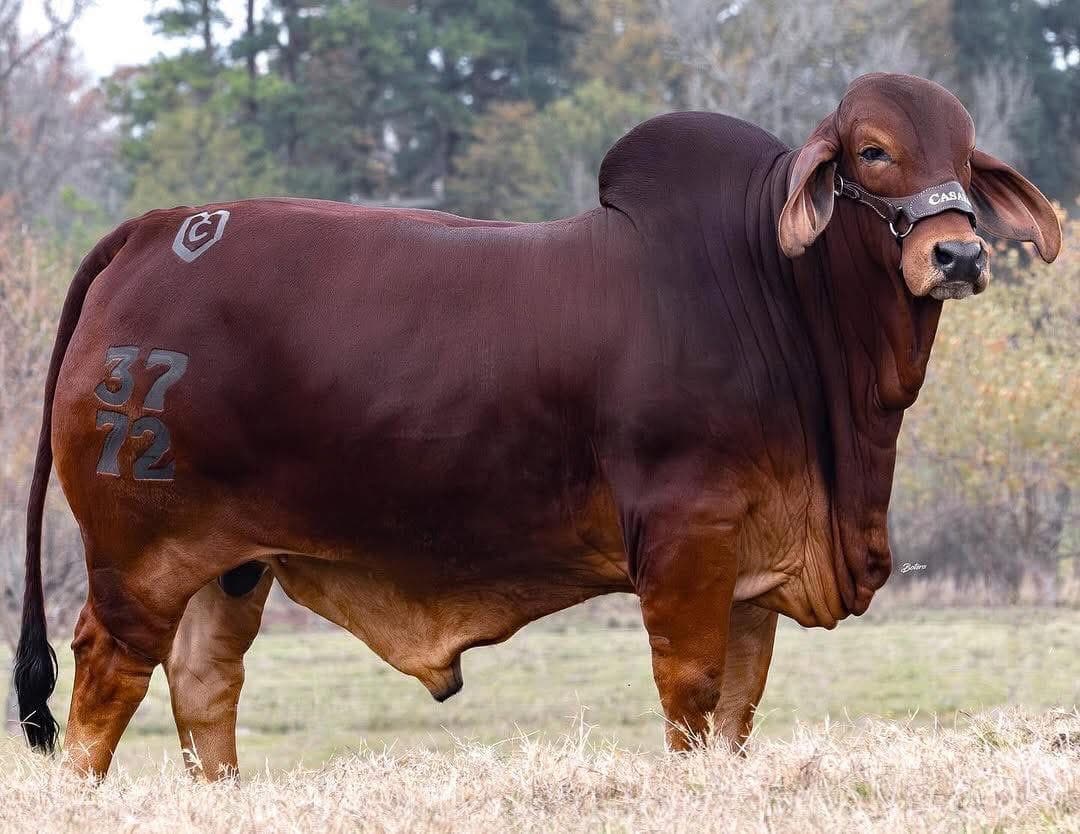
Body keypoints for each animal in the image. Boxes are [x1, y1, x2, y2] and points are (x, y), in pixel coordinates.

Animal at [14, 73, 1060, 778]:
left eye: (967, 159)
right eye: (872, 151)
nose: (959, 255)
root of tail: (156, 229)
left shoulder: (753, 566)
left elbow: (738, 708)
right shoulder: (685, 542)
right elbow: (691, 696)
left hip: (232, 565)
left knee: (204, 683)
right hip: (137, 555)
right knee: (106, 679)